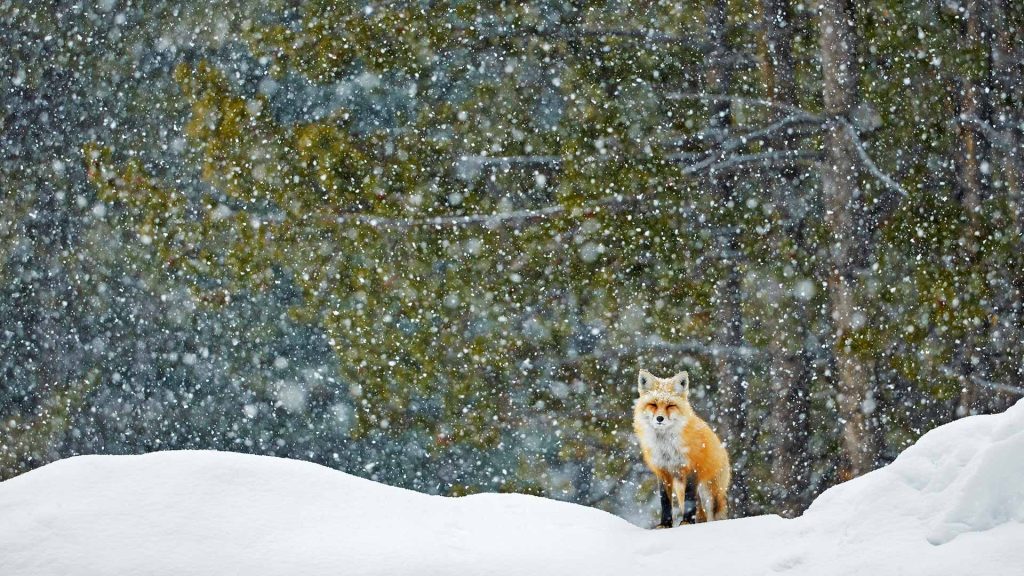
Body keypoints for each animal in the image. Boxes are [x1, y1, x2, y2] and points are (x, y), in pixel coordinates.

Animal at [633, 369, 731, 526]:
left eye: (670, 406)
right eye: (653, 404)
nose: (659, 418)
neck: (666, 446)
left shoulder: (691, 469)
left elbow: (690, 499)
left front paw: (686, 523)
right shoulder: (663, 471)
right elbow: (665, 501)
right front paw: (665, 525)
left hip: (709, 492)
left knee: (710, 515)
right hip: (680, 489)